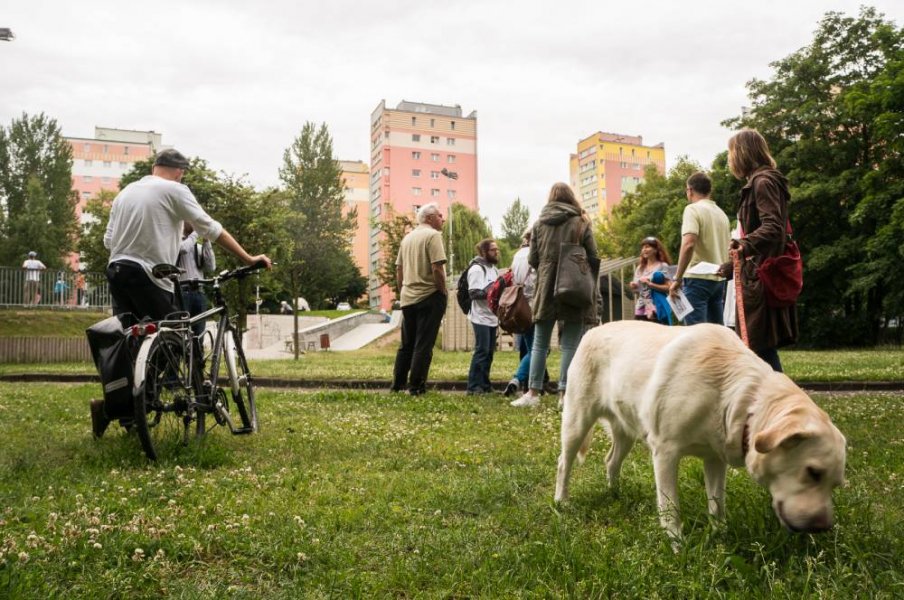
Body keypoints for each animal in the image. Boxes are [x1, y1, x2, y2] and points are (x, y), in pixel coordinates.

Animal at [552, 322, 848, 540]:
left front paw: (720, 535)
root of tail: (594, 329)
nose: (823, 528)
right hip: (577, 421)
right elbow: (670, 507)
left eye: (837, 484)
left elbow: (717, 503)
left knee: (611, 460)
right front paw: (676, 544)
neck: (737, 396)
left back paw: (615, 493)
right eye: (813, 472)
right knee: (564, 462)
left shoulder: (715, 459)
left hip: (626, 430)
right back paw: (561, 501)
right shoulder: (665, 453)